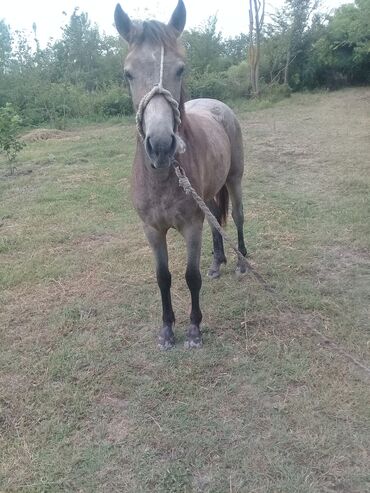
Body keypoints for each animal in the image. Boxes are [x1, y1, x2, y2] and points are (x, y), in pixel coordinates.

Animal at [115, 0, 249, 348]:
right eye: (128, 72)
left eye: (181, 69)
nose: (161, 146)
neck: (162, 178)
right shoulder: (152, 230)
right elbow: (163, 278)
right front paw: (166, 330)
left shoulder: (191, 226)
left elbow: (191, 276)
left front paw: (194, 329)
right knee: (217, 220)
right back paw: (217, 263)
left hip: (235, 179)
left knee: (238, 217)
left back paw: (241, 262)